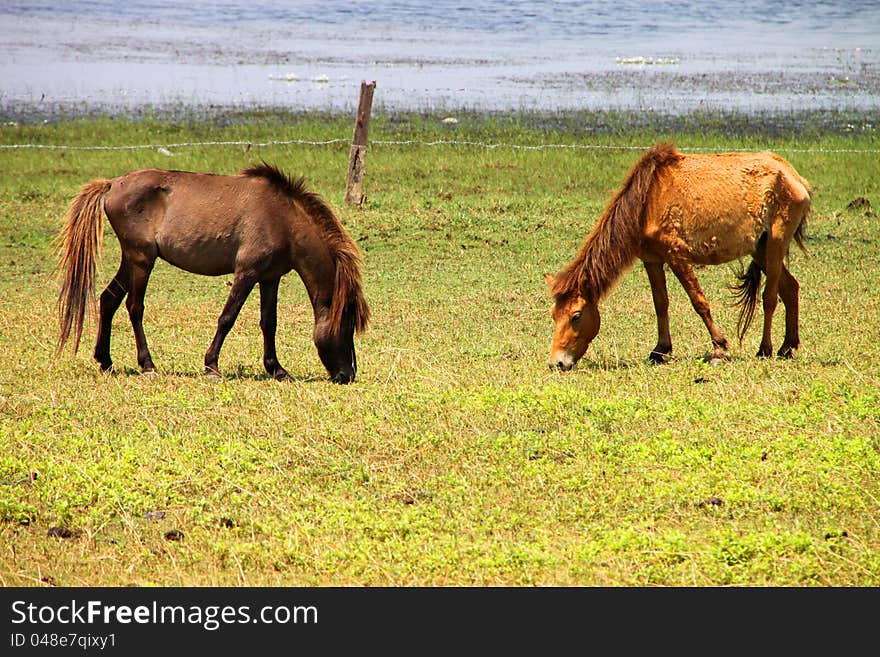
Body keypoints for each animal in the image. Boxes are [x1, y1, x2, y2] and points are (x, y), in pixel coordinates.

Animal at [54, 161, 372, 382]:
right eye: (346, 325)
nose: (348, 375)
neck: (283, 218)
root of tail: (112, 184)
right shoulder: (247, 272)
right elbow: (227, 318)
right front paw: (212, 365)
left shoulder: (270, 277)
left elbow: (269, 322)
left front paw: (277, 369)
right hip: (142, 260)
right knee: (134, 307)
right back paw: (147, 365)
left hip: (130, 260)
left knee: (108, 300)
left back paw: (105, 361)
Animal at [544, 142, 812, 368]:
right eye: (554, 315)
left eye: (576, 316)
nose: (557, 363)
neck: (647, 201)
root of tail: (793, 176)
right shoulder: (652, 259)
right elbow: (660, 303)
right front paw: (660, 350)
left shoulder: (677, 256)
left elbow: (699, 302)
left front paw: (719, 349)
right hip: (760, 249)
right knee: (790, 288)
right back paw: (787, 347)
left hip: (776, 243)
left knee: (770, 297)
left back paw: (765, 349)